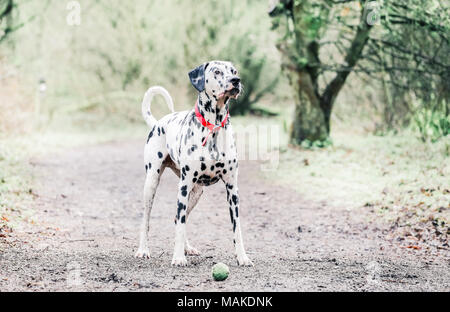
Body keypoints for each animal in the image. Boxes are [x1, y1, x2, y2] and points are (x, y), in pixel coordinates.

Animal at [134, 60, 253, 266]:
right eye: (217, 71)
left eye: (234, 71)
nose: (236, 80)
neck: (213, 128)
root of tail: (157, 123)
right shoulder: (183, 186)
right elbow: (180, 225)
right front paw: (178, 258)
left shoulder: (232, 189)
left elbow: (237, 228)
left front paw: (242, 257)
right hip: (152, 183)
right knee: (148, 220)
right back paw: (144, 250)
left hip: (196, 193)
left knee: (177, 218)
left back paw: (187, 248)